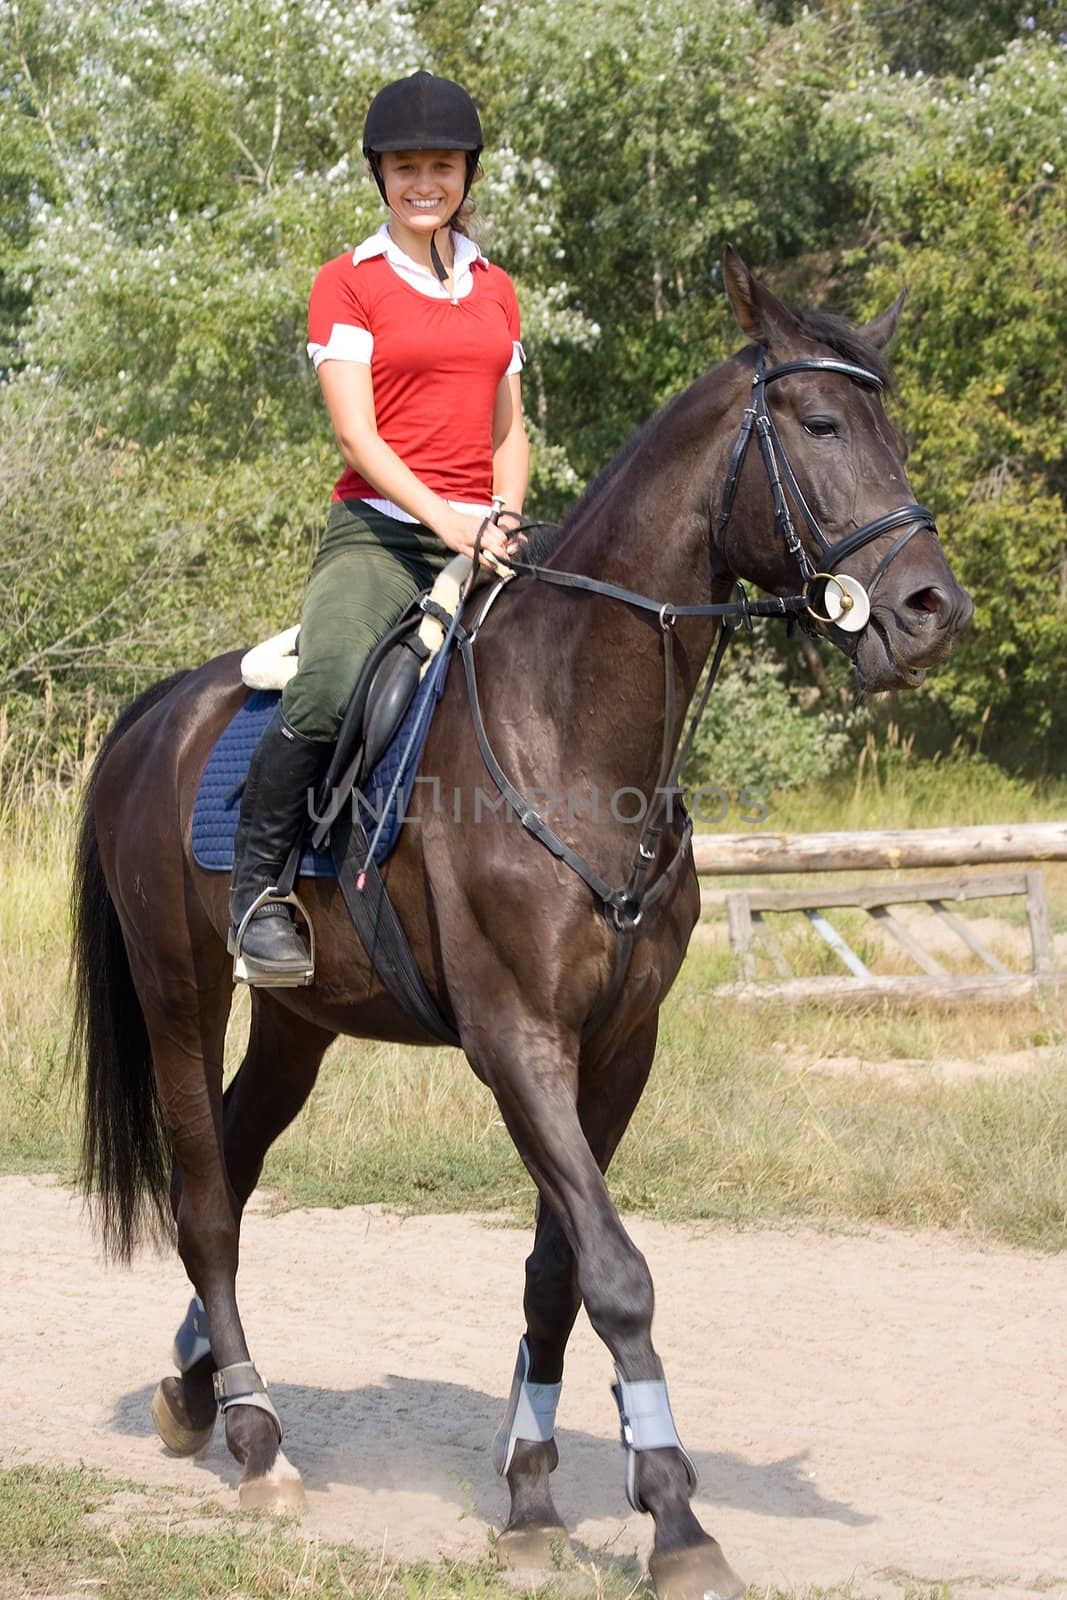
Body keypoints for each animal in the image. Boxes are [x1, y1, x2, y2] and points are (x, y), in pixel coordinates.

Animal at [70, 252, 972, 1600]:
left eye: (892, 432)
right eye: (818, 425)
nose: (929, 610)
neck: (571, 724)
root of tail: (160, 710)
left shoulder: (614, 1048)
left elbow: (558, 1270)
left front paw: (535, 1495)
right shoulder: (517, 1041)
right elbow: (618, 1273)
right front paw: (673, 1516)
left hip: (297, 1026)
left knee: (229, 1163)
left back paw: (197, 1391)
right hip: (183, 996)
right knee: (207, 1207)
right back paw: (255, 1436)